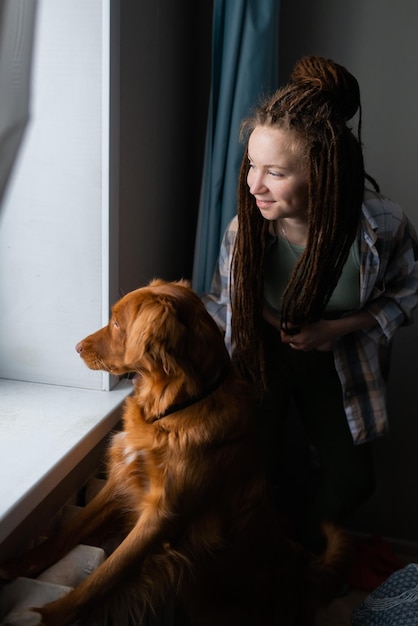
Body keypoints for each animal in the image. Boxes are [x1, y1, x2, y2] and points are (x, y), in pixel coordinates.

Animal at [0, 280, 348, 620]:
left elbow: (105, 576)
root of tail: (305, 571)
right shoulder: (122, 479)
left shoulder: (163, 516)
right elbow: (68, 531)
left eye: (117, 323)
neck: (170, 412)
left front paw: (49, 614)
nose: (76, 347)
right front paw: (19, 564)